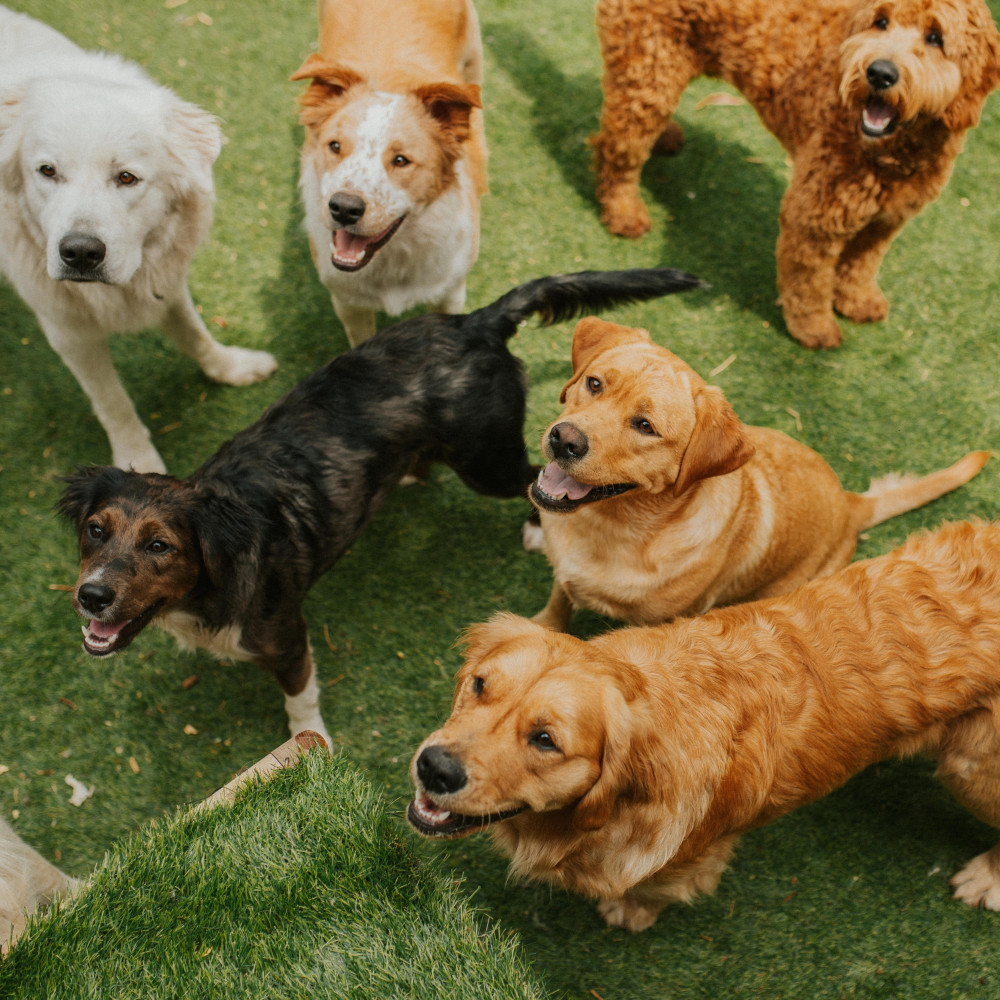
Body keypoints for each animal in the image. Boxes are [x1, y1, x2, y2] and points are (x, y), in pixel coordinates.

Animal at [0, 6, 278, 472]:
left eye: (126, 177)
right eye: (48, 171)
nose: (79, 253)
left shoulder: (165, 280)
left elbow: (195, 335)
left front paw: (231, 367)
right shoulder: (69, 333)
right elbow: (113, 403)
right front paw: (136, 462)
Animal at [60, 268, 704, 744]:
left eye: (160, 546)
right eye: (95, 531)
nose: (90, 596)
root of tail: (474, 322)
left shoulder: (288, 638)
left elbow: (301, 703)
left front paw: (311, 745)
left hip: (486, 461)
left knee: (537, 479)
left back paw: (534, 527)